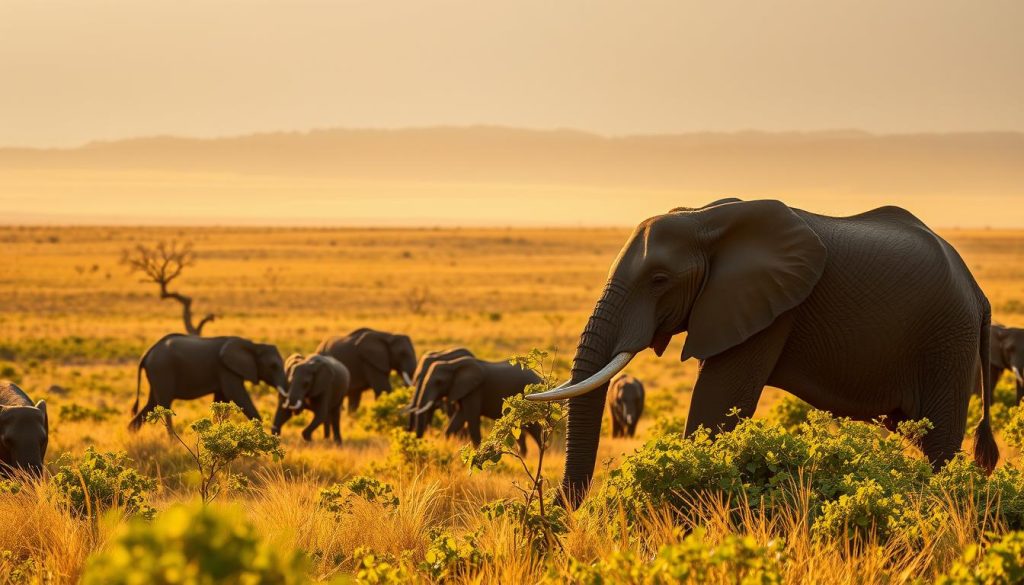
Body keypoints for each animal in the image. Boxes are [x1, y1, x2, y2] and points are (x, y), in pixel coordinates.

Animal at [129, 333, 288, 431]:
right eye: (273, 366)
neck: (254, 346)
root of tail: (147, 353)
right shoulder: (226, 370)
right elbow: (238, 395)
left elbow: (221, 400)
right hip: (162, 370)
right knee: (164, 405)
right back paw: (173, 443)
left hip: (156, 374)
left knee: (151, 404)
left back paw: (131, 434)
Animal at [412, 356, 542, 452]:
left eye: (439, 382)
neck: (452, 364)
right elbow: (459, 417)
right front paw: (447, 443)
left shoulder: (474, 390)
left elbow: (472, 417)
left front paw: (477, 451)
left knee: (537, 431)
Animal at [527, 199, 996, 507]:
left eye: (659, 280)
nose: (563, 513)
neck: (705, 220)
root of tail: (977, 289)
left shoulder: (770, 309)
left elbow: (717, 407)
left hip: (948, 338)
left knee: (940, 443)